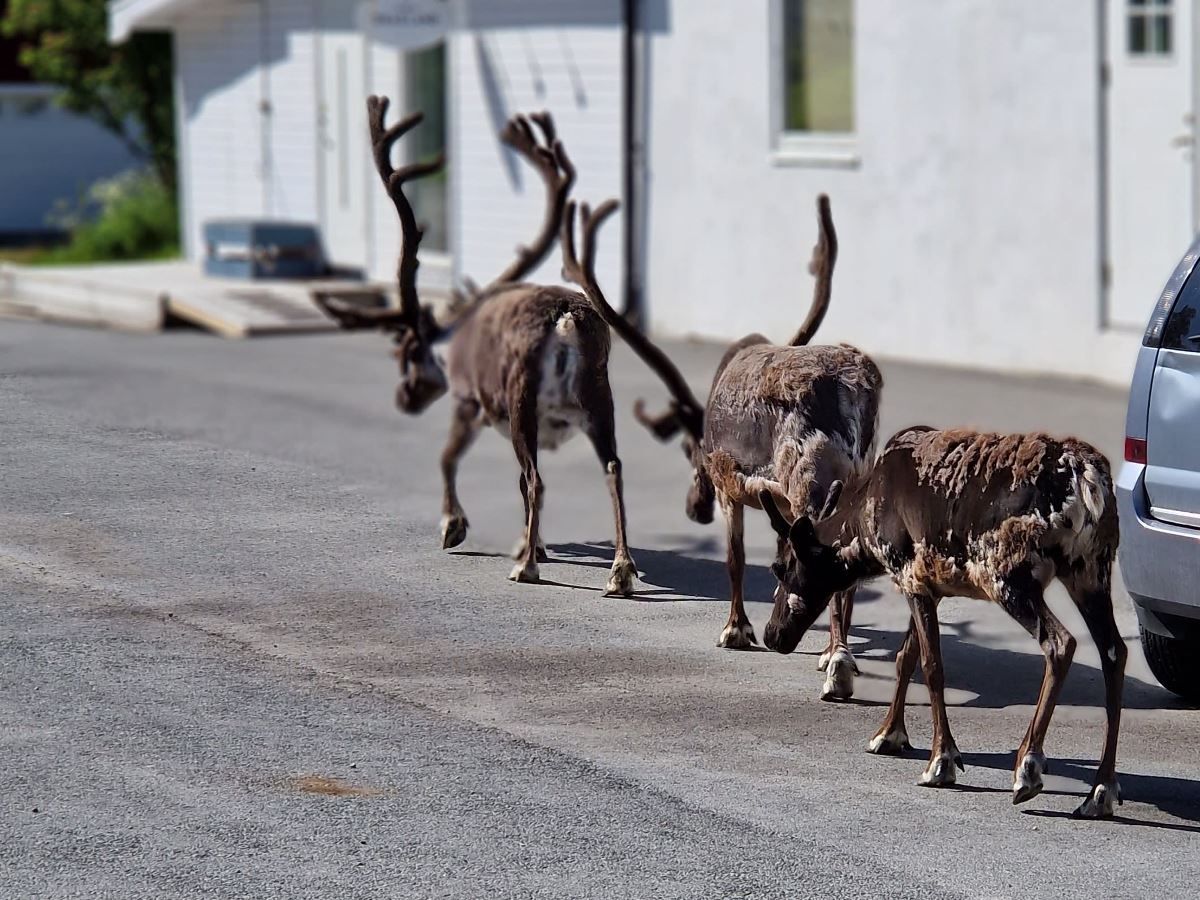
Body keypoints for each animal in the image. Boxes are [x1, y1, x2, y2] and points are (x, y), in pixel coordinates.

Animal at [316, 97, 639, 595]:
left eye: (406, 353)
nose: (404, 399)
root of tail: (566, 319)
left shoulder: (470, 401)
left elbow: (448, 459)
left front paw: (455, 527)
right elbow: (516, 485)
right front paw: (532, 542)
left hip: (521, 398)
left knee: (538, 479)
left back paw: (526, 569)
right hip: (599, 399)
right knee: (612, 469)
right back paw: (620, 572)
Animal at [574, 194, 881, 701]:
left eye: (692, 450)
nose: (693, 508)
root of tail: (850, 387)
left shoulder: (728, 483)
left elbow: (735, 559)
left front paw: (736, 630)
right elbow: (799, 556)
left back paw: (836, 664)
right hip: (853, 478)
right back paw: (835, 657)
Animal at [757, 426, 1126, 818]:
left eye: (780, 568)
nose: (772, 634)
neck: (863, 532)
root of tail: (1087, 478)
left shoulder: (910, 574)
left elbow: (932, 666)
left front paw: (941, 761)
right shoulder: (927, 586)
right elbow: (905, 658)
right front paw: (888, 734)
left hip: (1010, 576)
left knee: (1061, 642)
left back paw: (1028, 770)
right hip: (1091, 570)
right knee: (1114, 651)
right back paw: (1101, 789)